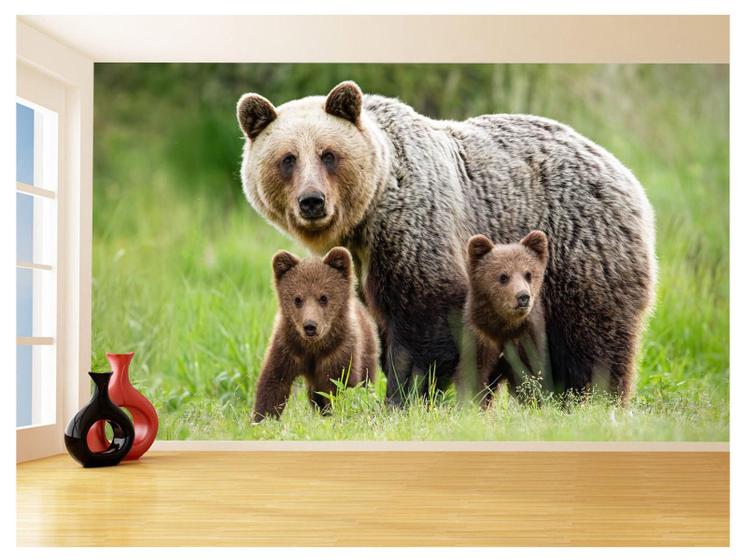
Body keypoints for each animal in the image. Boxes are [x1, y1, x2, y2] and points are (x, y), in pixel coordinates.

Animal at [252, 246, 379, 421]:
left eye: (323, 297)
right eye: (297, 299)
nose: (310, 326)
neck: (313, 347)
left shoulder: (339, 352)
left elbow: (341, 386)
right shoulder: (287, 348)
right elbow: (273, 383)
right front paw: (262, 418)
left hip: (367, 351)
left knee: (366, 382)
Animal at [464, 231, 550, 406]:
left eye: (528, 274)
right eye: (503, 276)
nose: (523, 297)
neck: (504, 328)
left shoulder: (525, 339)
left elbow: (530, 376)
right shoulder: (481, 338)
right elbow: (476, 375)